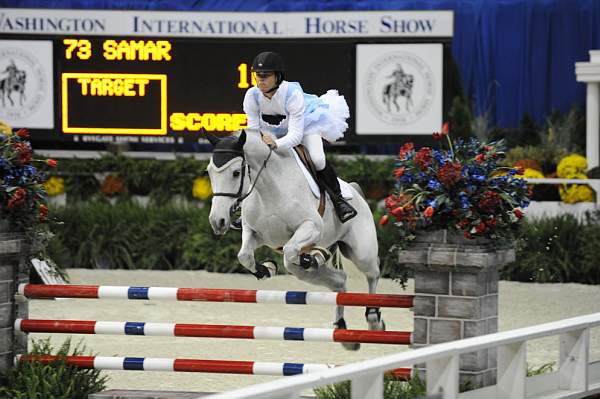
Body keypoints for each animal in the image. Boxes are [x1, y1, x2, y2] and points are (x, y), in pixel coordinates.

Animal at [206, 130, 384, 350]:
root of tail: (356, 191)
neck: (268, 188)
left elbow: (290, 252)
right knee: (339, 282)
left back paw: (374, 318)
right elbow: (244, 255)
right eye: (209, 172)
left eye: (236, 173)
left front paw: (308, 259)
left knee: (372, 273)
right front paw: (267, 269)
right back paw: (342, 329)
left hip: (361, 253)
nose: (218, 221)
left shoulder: (311, 227)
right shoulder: (255, 232)